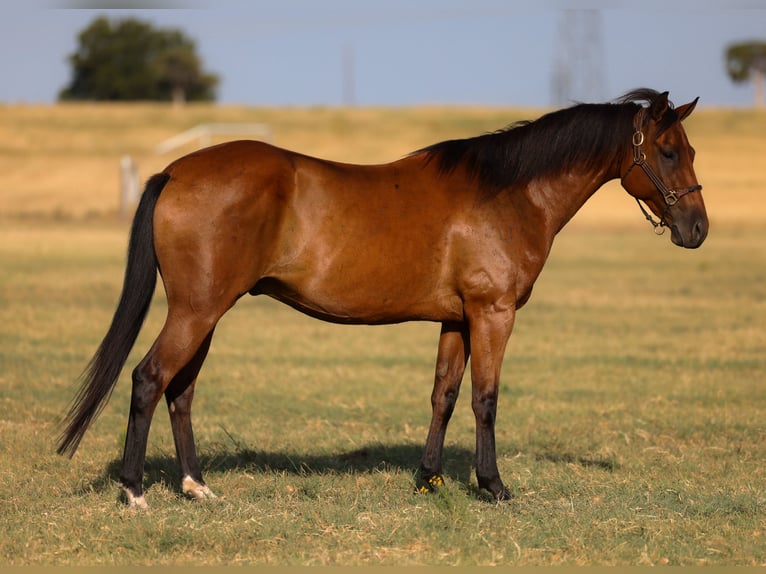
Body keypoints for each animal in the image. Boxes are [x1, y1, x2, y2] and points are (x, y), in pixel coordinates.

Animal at [57, 89, 708, 508]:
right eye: (668, 152)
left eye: (690, 152)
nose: (697, 229)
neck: (506, 193)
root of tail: (176, 171)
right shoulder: (492, 314)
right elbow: (486, 399)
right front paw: (493, 486)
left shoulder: (457, 320)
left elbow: (444, 396)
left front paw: (428, 480)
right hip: (196, 312)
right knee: (149, 379)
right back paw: (135, 491)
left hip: (206, 312)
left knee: (181, 391)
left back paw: (195, 487)